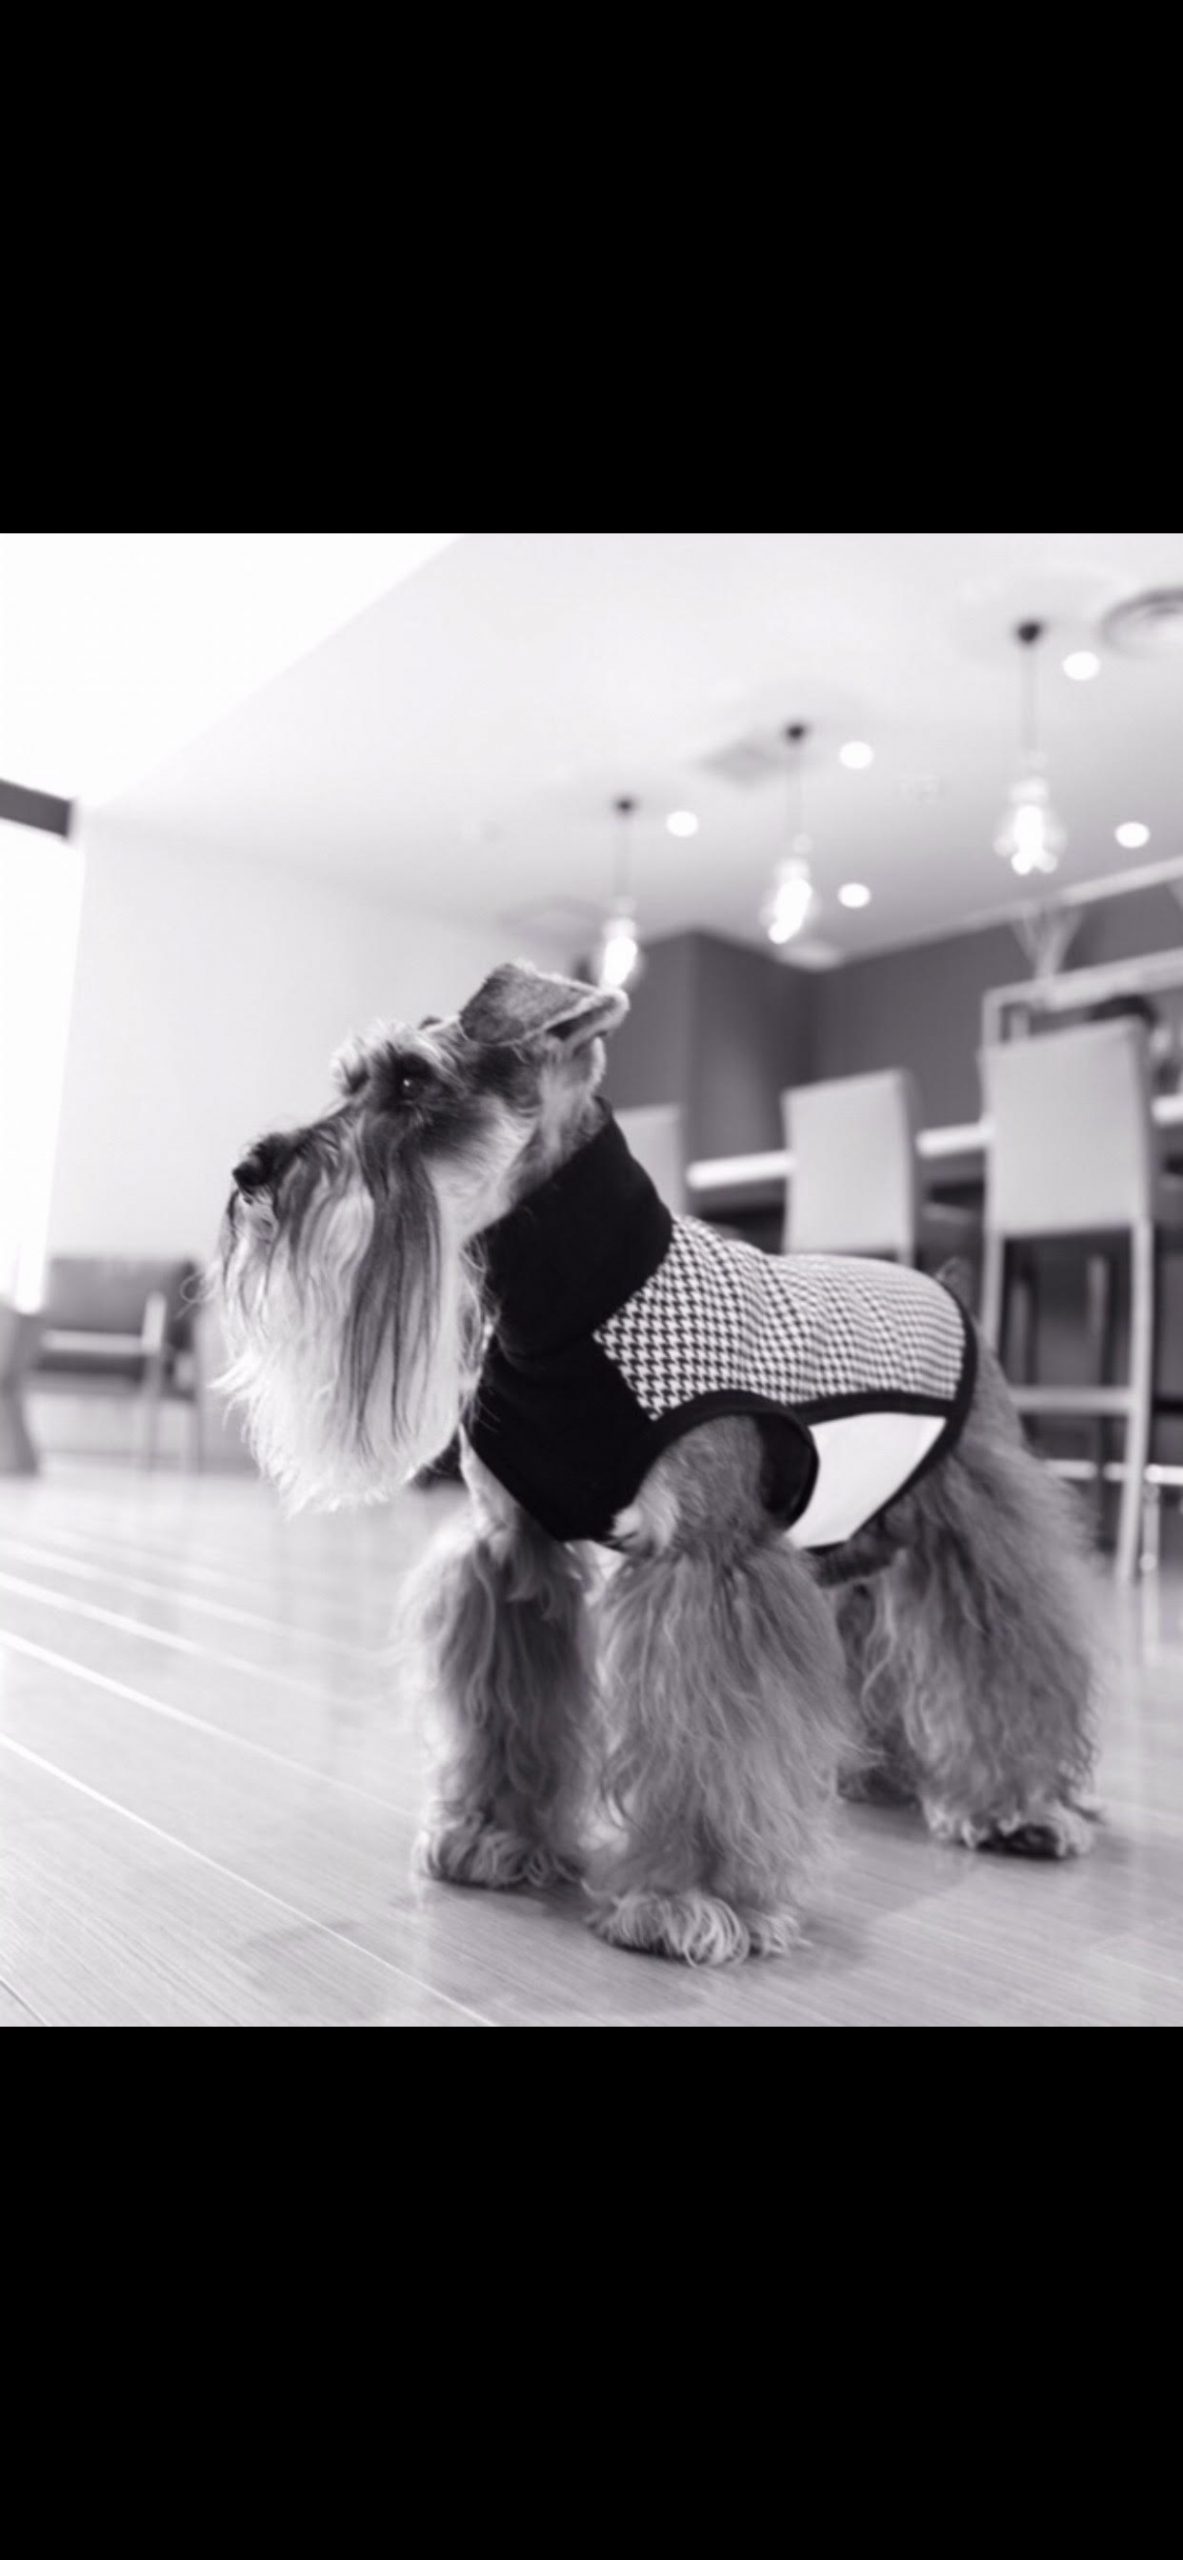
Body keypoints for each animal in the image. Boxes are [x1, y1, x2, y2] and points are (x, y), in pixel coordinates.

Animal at [217, 960, 1098, 1966]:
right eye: (350, 1081)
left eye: (410, 1081)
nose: (249, 1169)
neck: (570, 1307)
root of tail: (944, 1286)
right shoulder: (511, 1552)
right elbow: (507, 1711)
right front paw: (494, 1835)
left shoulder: (705, 1566)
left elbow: (707, 1741)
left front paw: (690, 1899)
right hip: (850, 1539)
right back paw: (873, 1772)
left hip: (974, 1530)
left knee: (1008, 1654)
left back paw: (1018, 1808)